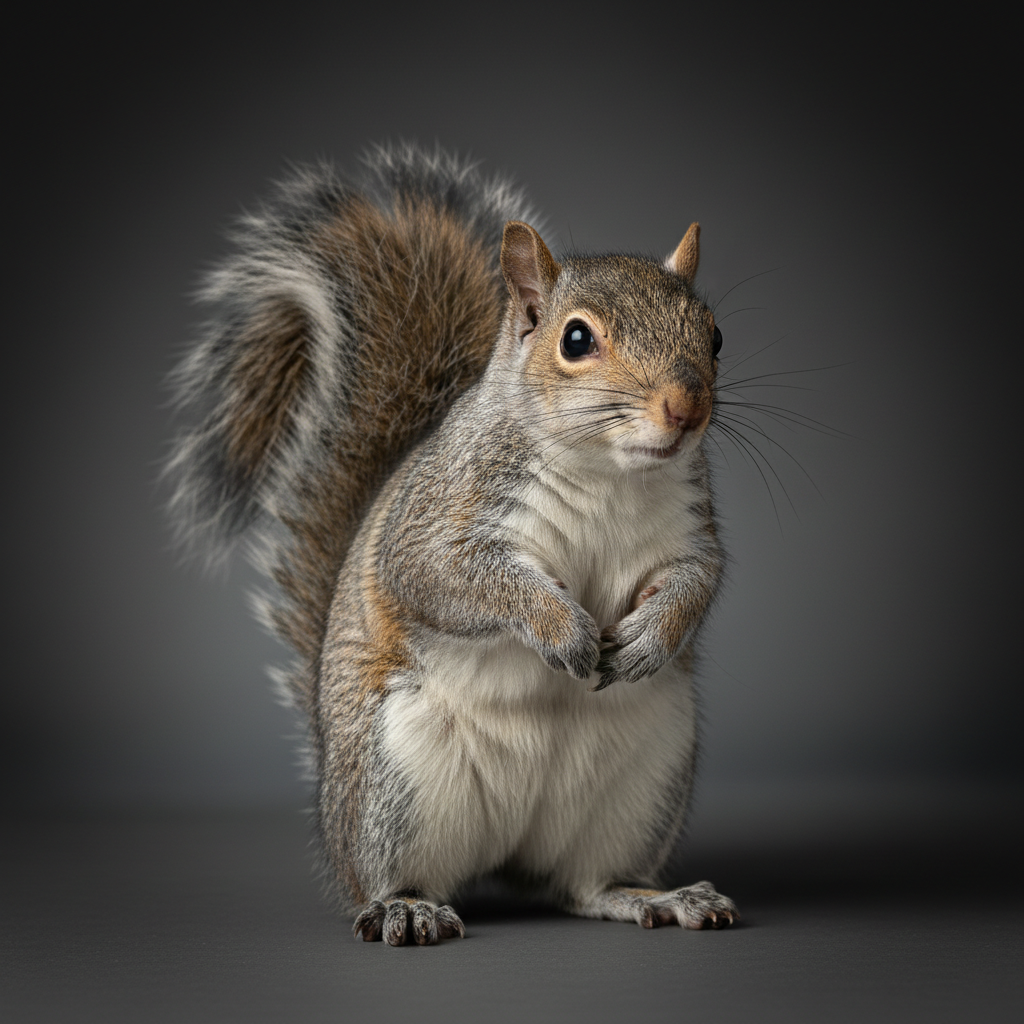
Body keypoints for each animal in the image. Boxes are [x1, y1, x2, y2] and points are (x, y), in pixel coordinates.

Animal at [168, 143, 739, 945]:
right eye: (576, 339)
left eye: (714, 335)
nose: (686, 409)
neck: (608, 472)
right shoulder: (439, 517)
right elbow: (450, 577)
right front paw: (560, 628)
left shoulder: (690, 527)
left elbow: (698, 580)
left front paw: (651, 638)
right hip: (394, 784)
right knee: (388, 876)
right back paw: (405, 906)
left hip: (640, 787)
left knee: (584, 883)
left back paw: (655, 896)